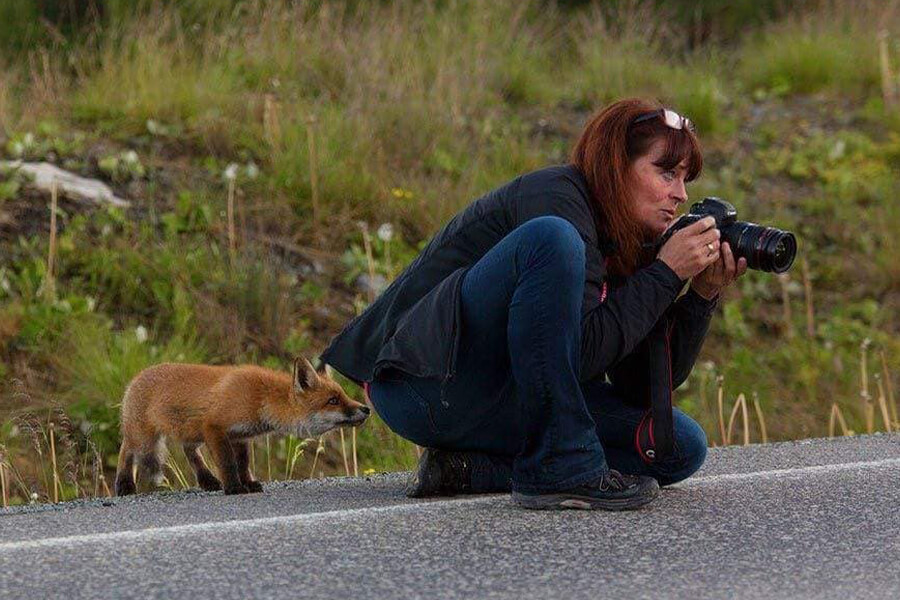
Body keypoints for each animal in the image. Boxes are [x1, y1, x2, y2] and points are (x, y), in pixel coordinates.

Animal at [114, 356, 369, 496]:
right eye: (333, 401)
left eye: (344, 395)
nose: (366, 409)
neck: (260, 398)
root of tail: (136, 377)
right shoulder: (215, 427)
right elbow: (228, 462)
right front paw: (234, 488)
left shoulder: (239, 436)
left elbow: (243, 464)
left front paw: (247, 483)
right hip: (145, 439)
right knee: (126, 451)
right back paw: (124, 485)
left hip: (190, 432)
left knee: (190, 452)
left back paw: (208, 481)